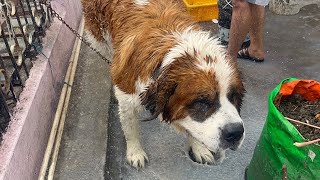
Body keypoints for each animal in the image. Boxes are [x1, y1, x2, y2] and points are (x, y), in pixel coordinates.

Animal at [82, 0, 245, 169]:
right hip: (100, 38)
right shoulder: (127, 95)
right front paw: (135, 152)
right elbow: (130, 129)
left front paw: (198, 148)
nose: (236, 132)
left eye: (233, 96)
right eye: (202, 102)